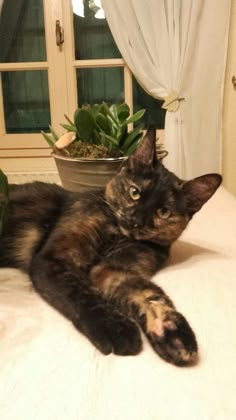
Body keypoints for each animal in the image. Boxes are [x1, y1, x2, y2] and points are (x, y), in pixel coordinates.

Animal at [0, 127, 221, 364]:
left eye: (164, 212)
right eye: (134, 192)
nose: (137, 220)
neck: (116, 235)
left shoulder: (114, 269)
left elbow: (149, 293)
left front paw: (171, 330)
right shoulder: (54, 259)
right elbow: (81, 294)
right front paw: (115, 328)